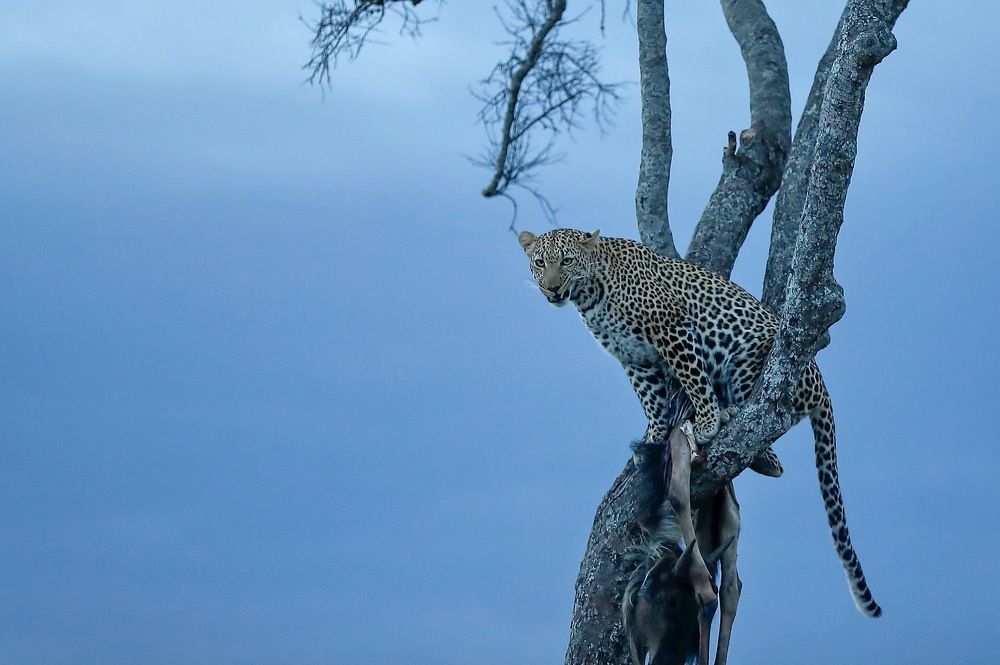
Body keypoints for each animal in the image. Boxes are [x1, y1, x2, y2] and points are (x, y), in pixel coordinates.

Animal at [518, 227, 881, 618]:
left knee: (768, 434)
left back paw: (729, 416)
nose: (552, 288)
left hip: (750, 362)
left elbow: (693, 378)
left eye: (567, 261)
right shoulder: (636, 359)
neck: (591, 294)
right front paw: (654, 437)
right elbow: (651, 400)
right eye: (540, 263)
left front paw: (706, 421)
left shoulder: (673, 330)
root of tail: (822, 386)